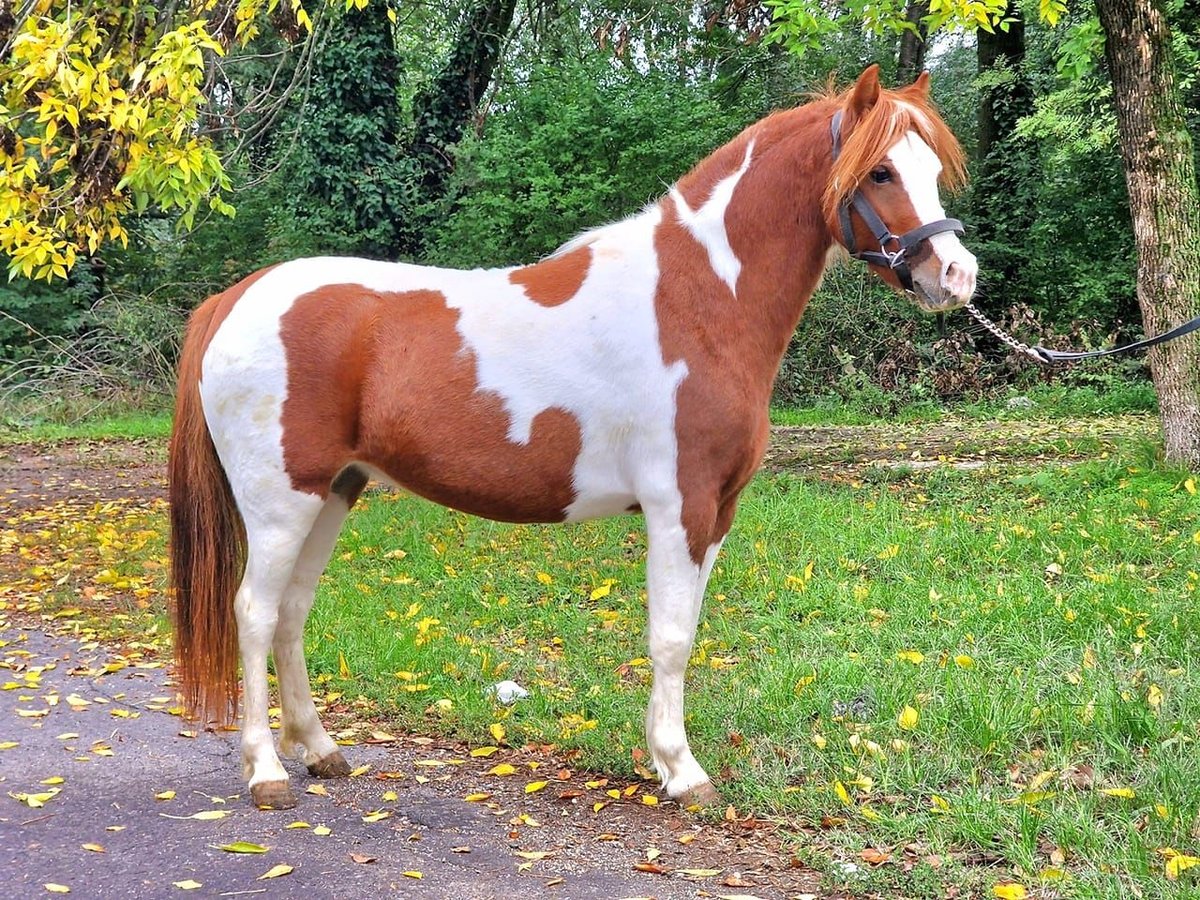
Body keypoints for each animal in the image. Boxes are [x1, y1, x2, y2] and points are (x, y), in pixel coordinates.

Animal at [166, 63, 974, 811]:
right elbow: (669, 638)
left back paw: (321, 750)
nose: (956, 276)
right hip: (281, 502)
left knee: (293, 611)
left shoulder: (717, 513)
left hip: (336, 492)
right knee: (255, 613)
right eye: (880, 170)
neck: (697, 303)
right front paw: (682, 772)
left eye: (933, 170)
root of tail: (236, 296)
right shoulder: (679, 507)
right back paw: (267, 771)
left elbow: (685, 633)